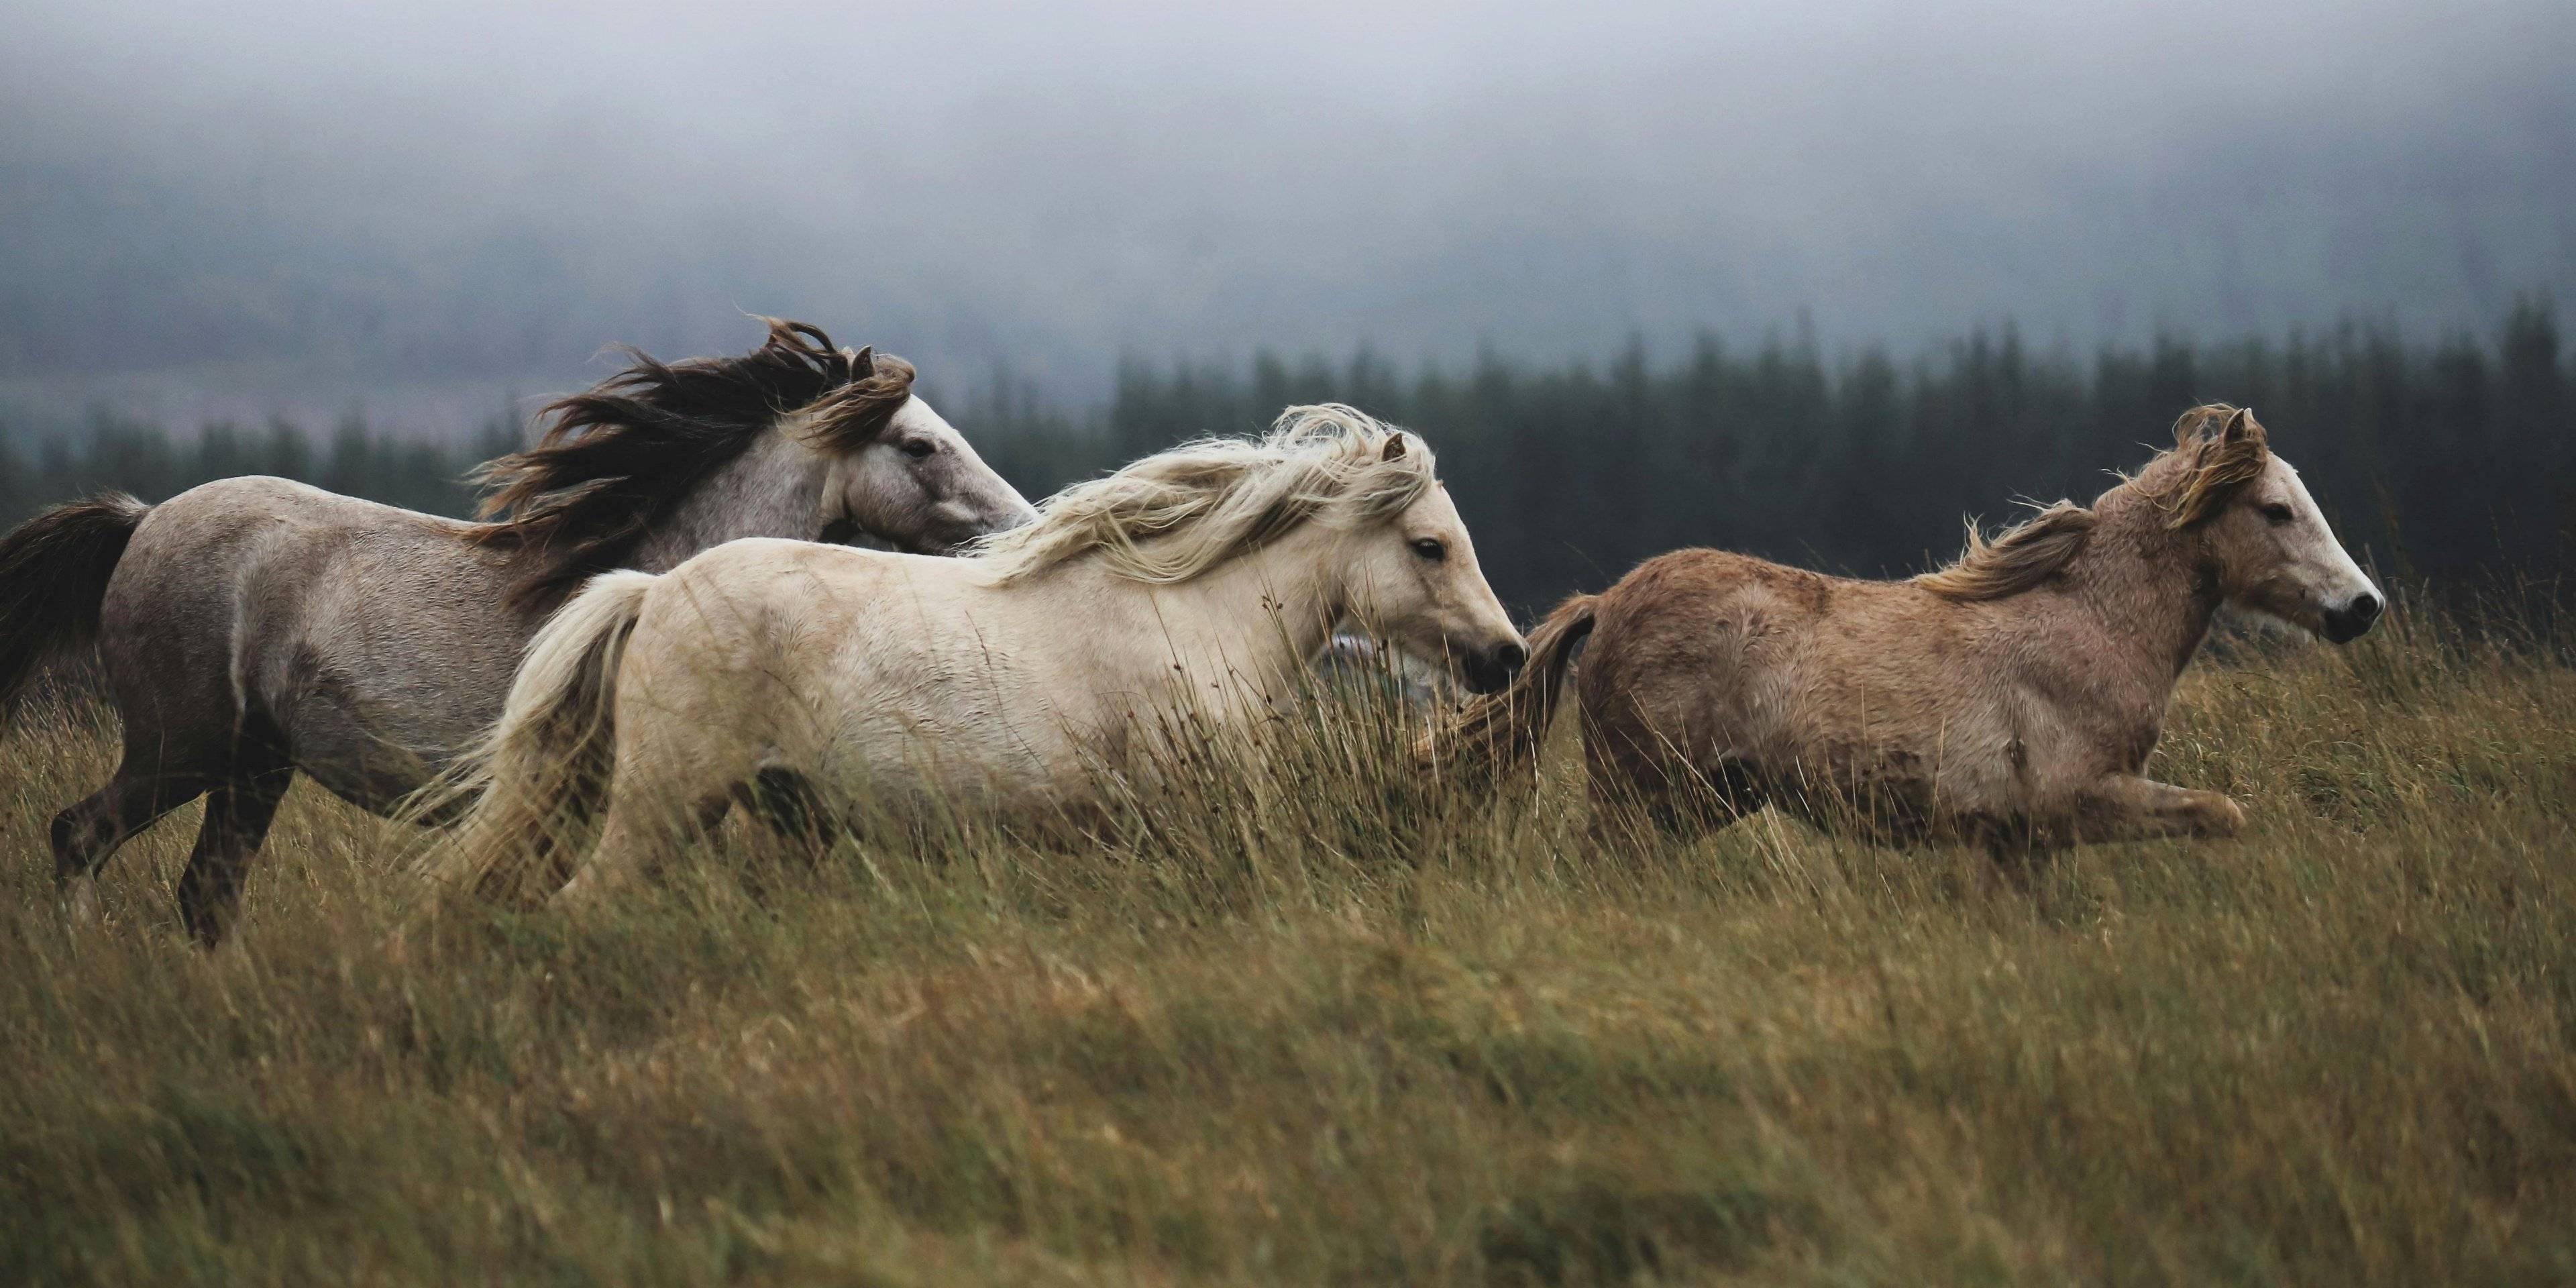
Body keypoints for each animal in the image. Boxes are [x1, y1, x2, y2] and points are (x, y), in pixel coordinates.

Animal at [7, 319, 1046, 948]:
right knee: (80, 835)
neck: (652, 583)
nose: (1019, 529)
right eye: (919, 445)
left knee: (205, 895)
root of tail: (143, 520)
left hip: (255, 767)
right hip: (181, 745)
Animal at [1442, 407, 2380, 860]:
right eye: (2276, 510)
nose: (2363, 606)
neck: (2092, 625)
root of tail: (1605, 602)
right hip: (1644, 799)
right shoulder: (2079, 800)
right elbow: (2223, 814)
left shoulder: (2014, 844)